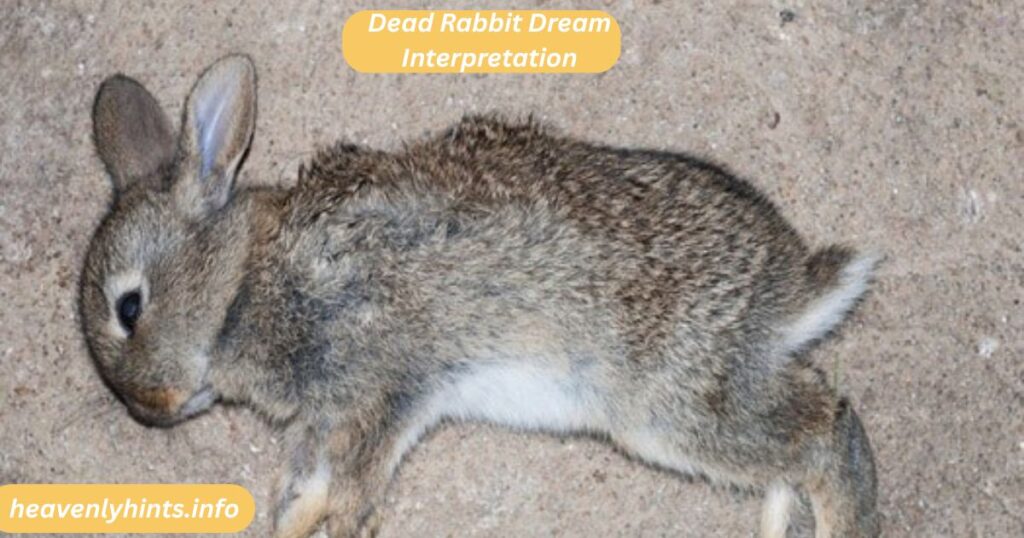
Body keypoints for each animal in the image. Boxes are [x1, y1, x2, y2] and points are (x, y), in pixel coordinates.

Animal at [79, 54, 880, 538]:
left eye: (129, 308)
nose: (150, 411)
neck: (244, 279)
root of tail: (795, 289)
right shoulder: (327, 418)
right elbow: (303, 485)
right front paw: (287, 525)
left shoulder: (384, 386)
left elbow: (350, 483)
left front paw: (337, 524)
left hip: (672, 406)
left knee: (826, 431)